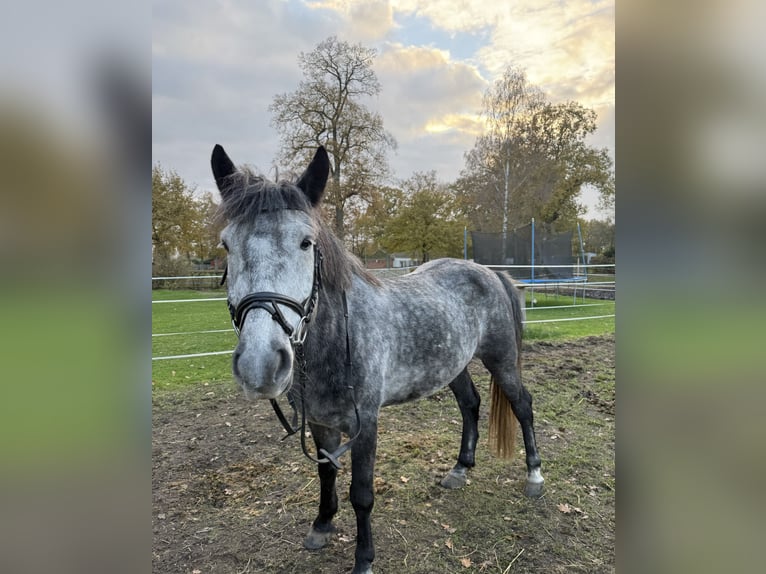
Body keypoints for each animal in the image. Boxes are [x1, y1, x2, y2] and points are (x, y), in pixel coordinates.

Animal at [213, 145, 544, 574]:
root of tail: (489, 272)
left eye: (306, 242)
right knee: (470, 404)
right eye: (226, 245)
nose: (261, 364)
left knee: (523, 405)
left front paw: (363, 559)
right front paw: (322, 525)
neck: (337, 340)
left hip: (501, 360)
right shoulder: (320, 422)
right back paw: (459, 469)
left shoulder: (365, 424)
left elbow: (362, 493)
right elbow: (325, 473)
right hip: (452, 365)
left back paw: (534, 475)